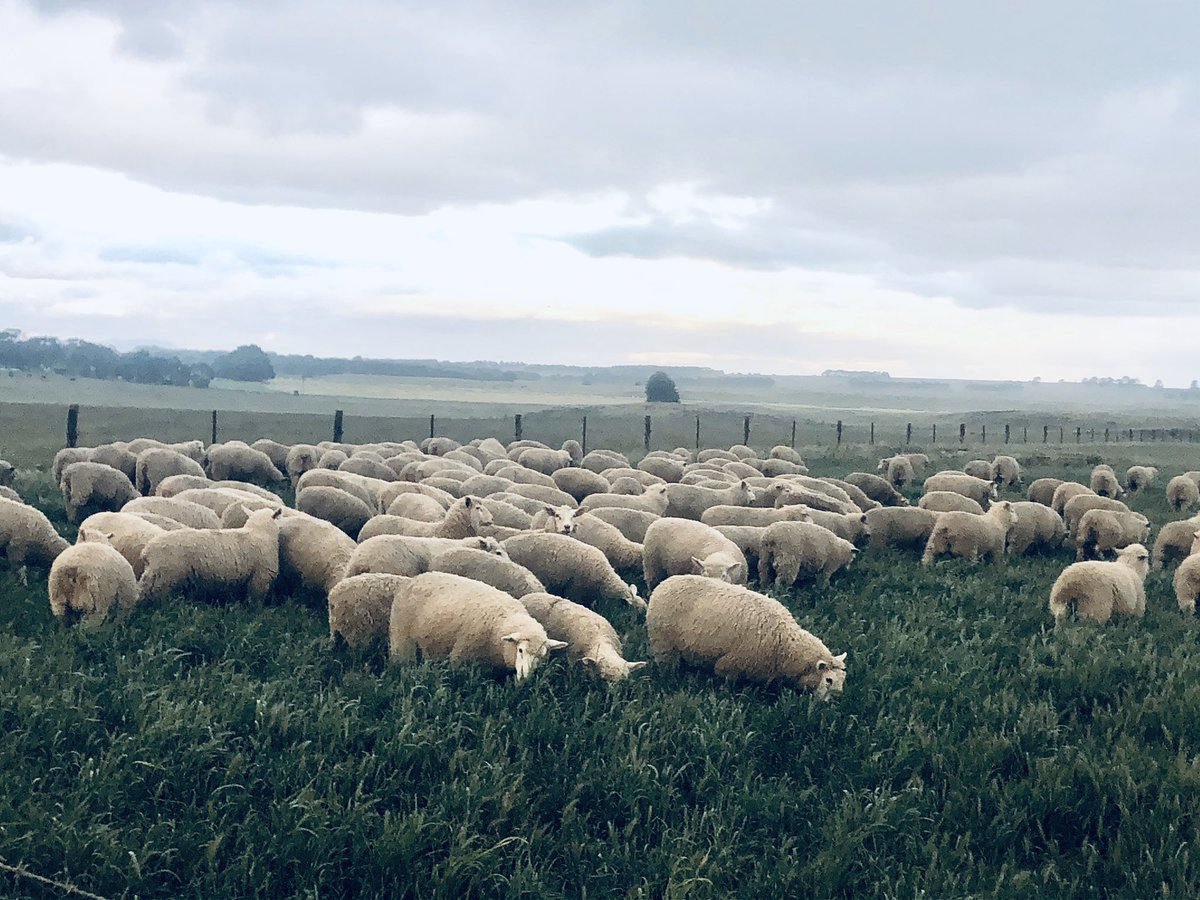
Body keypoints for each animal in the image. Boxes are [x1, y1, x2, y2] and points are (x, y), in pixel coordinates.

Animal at [138, 507, 283, 604]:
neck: (260, 532)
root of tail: (147, 551)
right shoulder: (260, 577)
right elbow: (255, 601)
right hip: (164, 577)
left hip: (153, 574)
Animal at [388, 572, 566, 680]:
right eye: (521, 650)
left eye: (541, 656)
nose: (524, 676)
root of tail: (417, 578)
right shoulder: (462, 654)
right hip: (401, 635)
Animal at [646, 575, 846, 699]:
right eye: (829, 680)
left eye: (842, 680)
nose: (831, 703)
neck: (784, 643)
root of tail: (663, 584)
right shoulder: (732, 664)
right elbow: (727, 680)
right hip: (664, 644)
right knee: (668, 666)